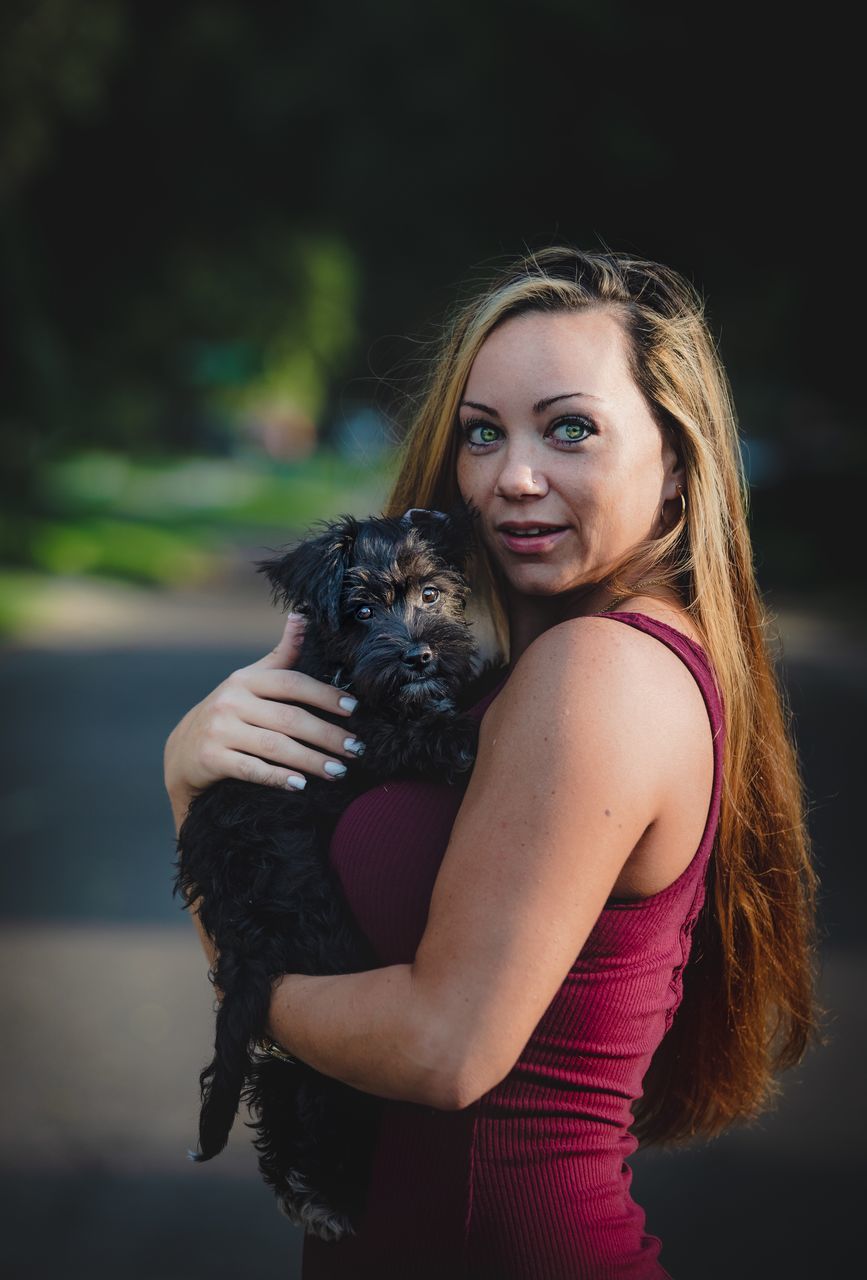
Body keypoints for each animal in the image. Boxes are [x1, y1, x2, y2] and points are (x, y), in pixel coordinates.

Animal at [170, 506, 478, 1239]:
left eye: (430, 593)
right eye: (361, 610)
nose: (419, 656)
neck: (341, 672)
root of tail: (244, 946)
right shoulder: (358, 737)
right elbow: (409, 734)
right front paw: (462, 736)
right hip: (329, 946)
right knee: (312, 1092)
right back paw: (329, 1195)